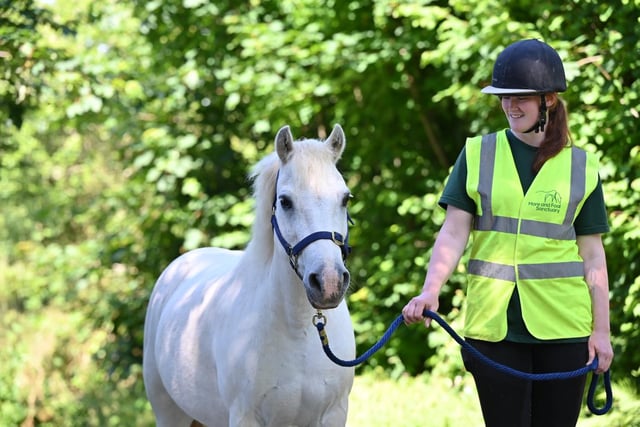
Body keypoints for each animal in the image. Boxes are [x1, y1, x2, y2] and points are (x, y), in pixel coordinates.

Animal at [142, 124, 356, 427]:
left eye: (345, 198)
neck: (299, 331)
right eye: (285, 201)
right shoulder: (245, 416)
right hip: (169, 413)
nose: (328, 283)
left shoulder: (334, 414)